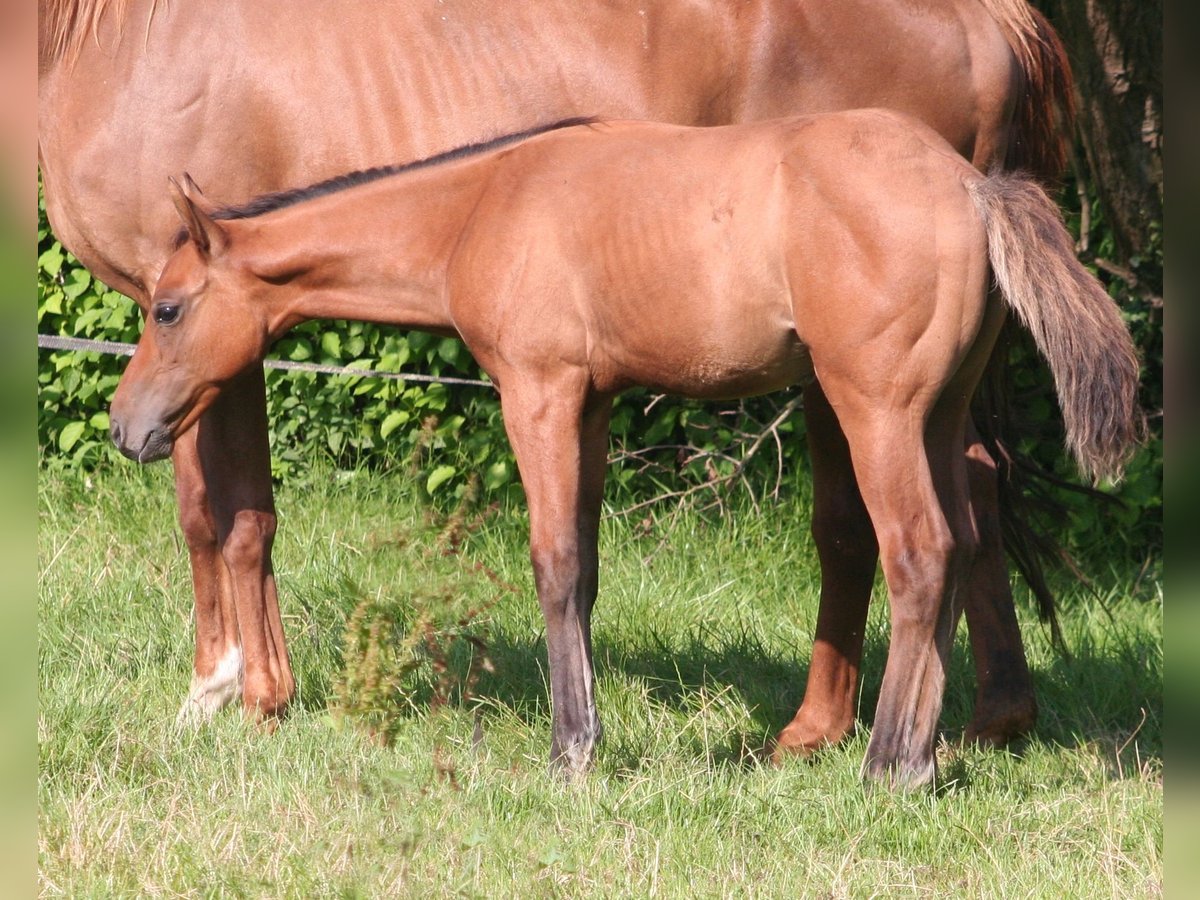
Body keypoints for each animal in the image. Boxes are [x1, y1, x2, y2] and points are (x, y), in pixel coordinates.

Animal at [37, 0, 1075, 763]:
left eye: (168, 309)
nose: (126, 427)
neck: (486, 203)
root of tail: (973, 192)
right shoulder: (593, 401)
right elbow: (587, 565)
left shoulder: (535, 392)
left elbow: (550, 561)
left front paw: (571, 745)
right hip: (932, 407)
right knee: (966, 515)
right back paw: (961, 733)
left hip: (871, 408)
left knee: (909, 547)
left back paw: (883, 755)